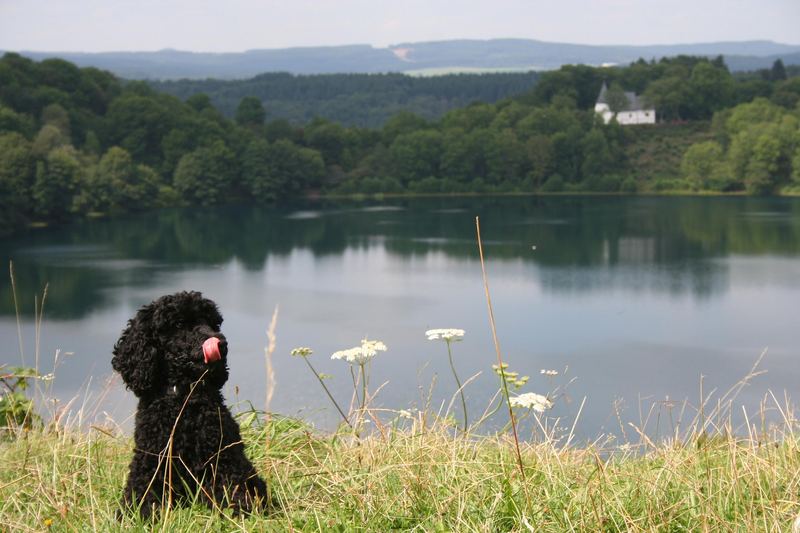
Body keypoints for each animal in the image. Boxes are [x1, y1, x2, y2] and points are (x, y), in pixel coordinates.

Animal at [112, 288, 268, 516]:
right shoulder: (151, 459)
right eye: (178, 324)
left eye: (214, 324)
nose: (221, 343)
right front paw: (138, 513)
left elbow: (232, 485)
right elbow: (141, 490)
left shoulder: (223, 456)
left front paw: (239, 508)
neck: (184, 398)